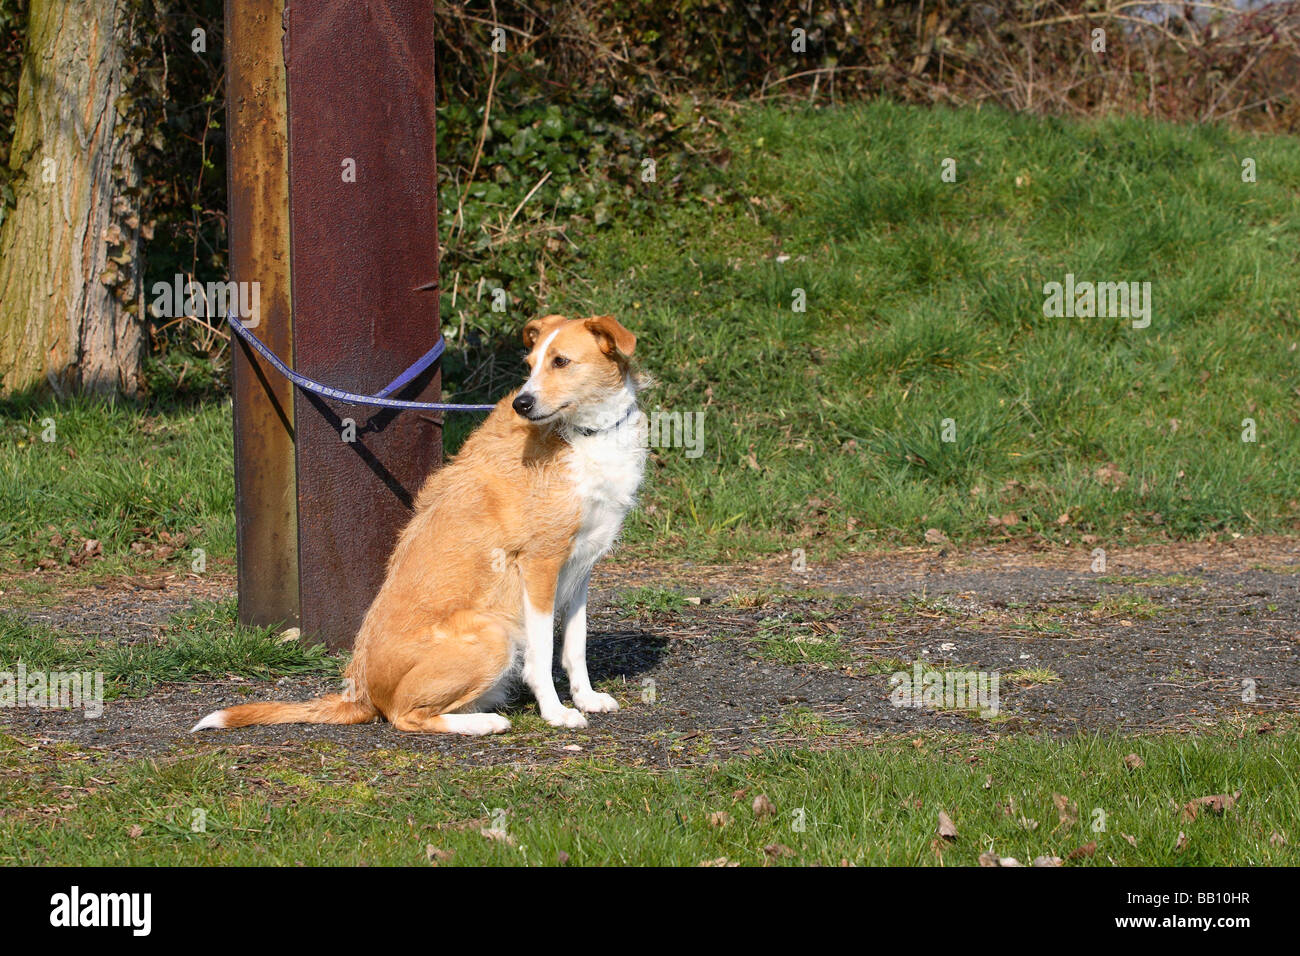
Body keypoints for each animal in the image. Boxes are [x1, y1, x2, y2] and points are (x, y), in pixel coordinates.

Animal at [189, 317, 647, 738]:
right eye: (530, 364)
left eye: (561, 361)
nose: (523, 403)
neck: (585, 433)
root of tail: (360, 694)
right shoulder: (539, 564)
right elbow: (541, 653)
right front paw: (555, 713)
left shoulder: (579, 567)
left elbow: (575, 645)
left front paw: (586, 698)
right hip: (493, 633)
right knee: (404, 716)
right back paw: (484, 723)